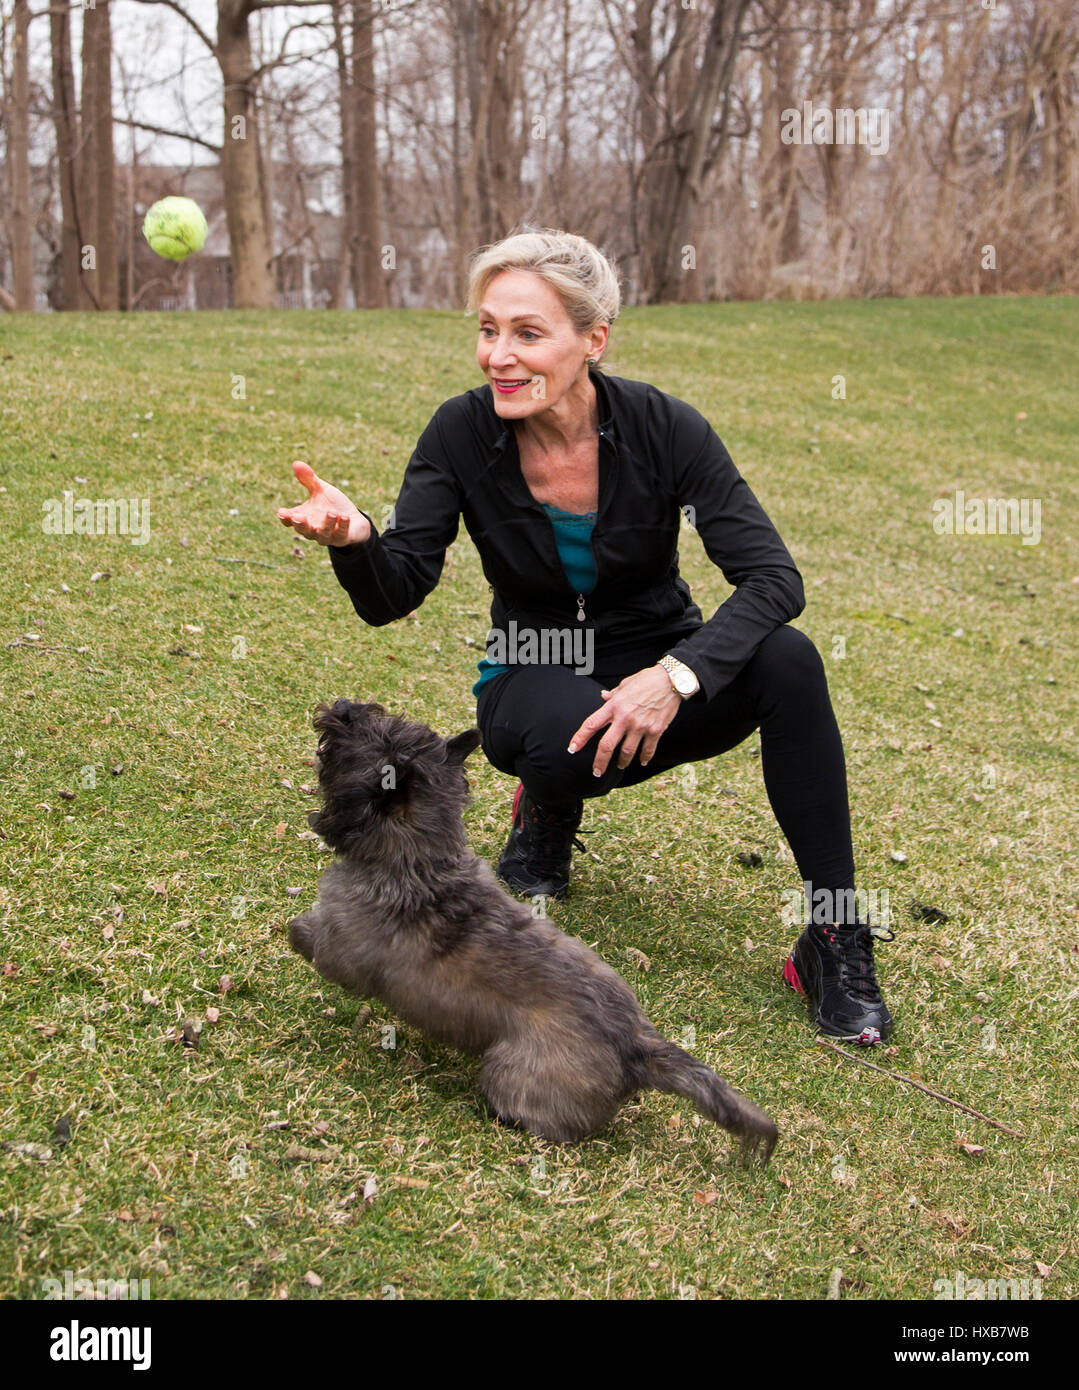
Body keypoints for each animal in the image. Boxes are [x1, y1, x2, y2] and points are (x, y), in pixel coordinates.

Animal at [286, 695, 773, 1162]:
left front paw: (293, 929)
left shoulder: (341, 952)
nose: (344, 708)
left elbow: (305, 934)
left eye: (359, 738)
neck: (420, 861)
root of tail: (635, 1043)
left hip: (512, 1073)